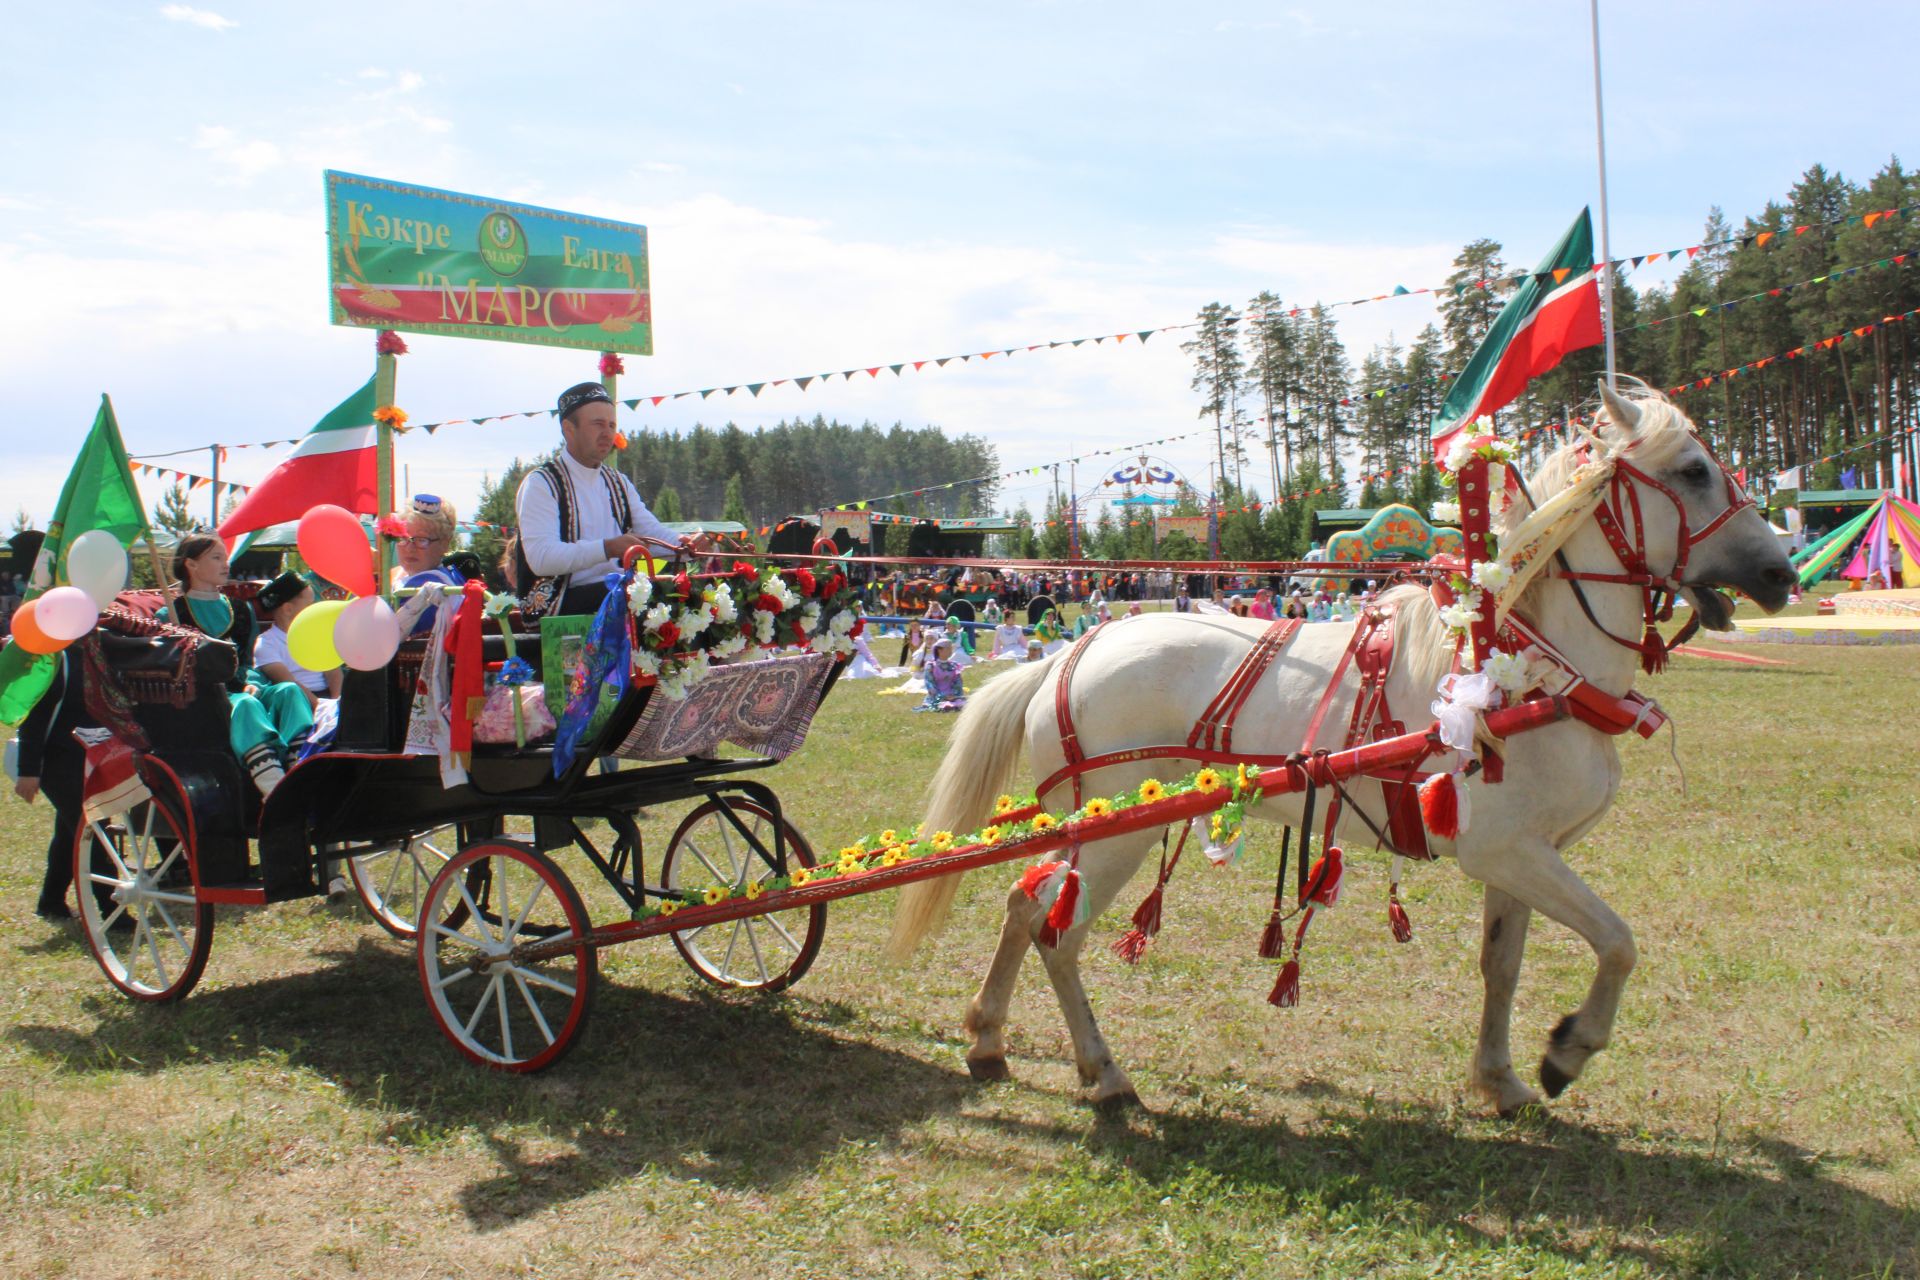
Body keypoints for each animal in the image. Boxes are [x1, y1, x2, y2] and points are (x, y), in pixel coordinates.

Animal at [890, 385, 1789, 1113]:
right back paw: (1104, 1076)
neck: (1531, 667)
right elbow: (1618, 942)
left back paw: (987, 1039)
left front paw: (1501, 1079)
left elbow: (1503, 966)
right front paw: (1568, 1050)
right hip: (1116, 837)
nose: (1782, 574)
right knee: (1058, 935)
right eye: (1695, 471)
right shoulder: (1510, 851)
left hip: (1085, 831)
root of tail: (1066, 656)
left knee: (1023, 907)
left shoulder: (1522, 856)